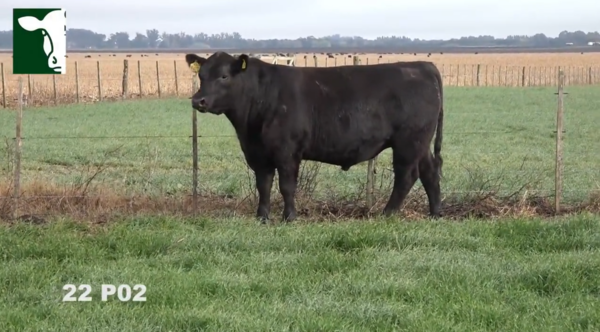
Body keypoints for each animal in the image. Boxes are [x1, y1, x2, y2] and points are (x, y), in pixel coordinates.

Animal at [185, 52, 442, 223]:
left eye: (224, 76)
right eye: (201, 75)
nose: (198, 100)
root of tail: (424, 66)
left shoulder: (287, 151)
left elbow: (287, 186)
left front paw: (289, 217)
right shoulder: (258, 153)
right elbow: (263, 185)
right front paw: (262, 217)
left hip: (409, 142)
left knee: (406, 176)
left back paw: (387, 214)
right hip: (421, 143)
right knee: (429, 171)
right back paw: (436, 213)